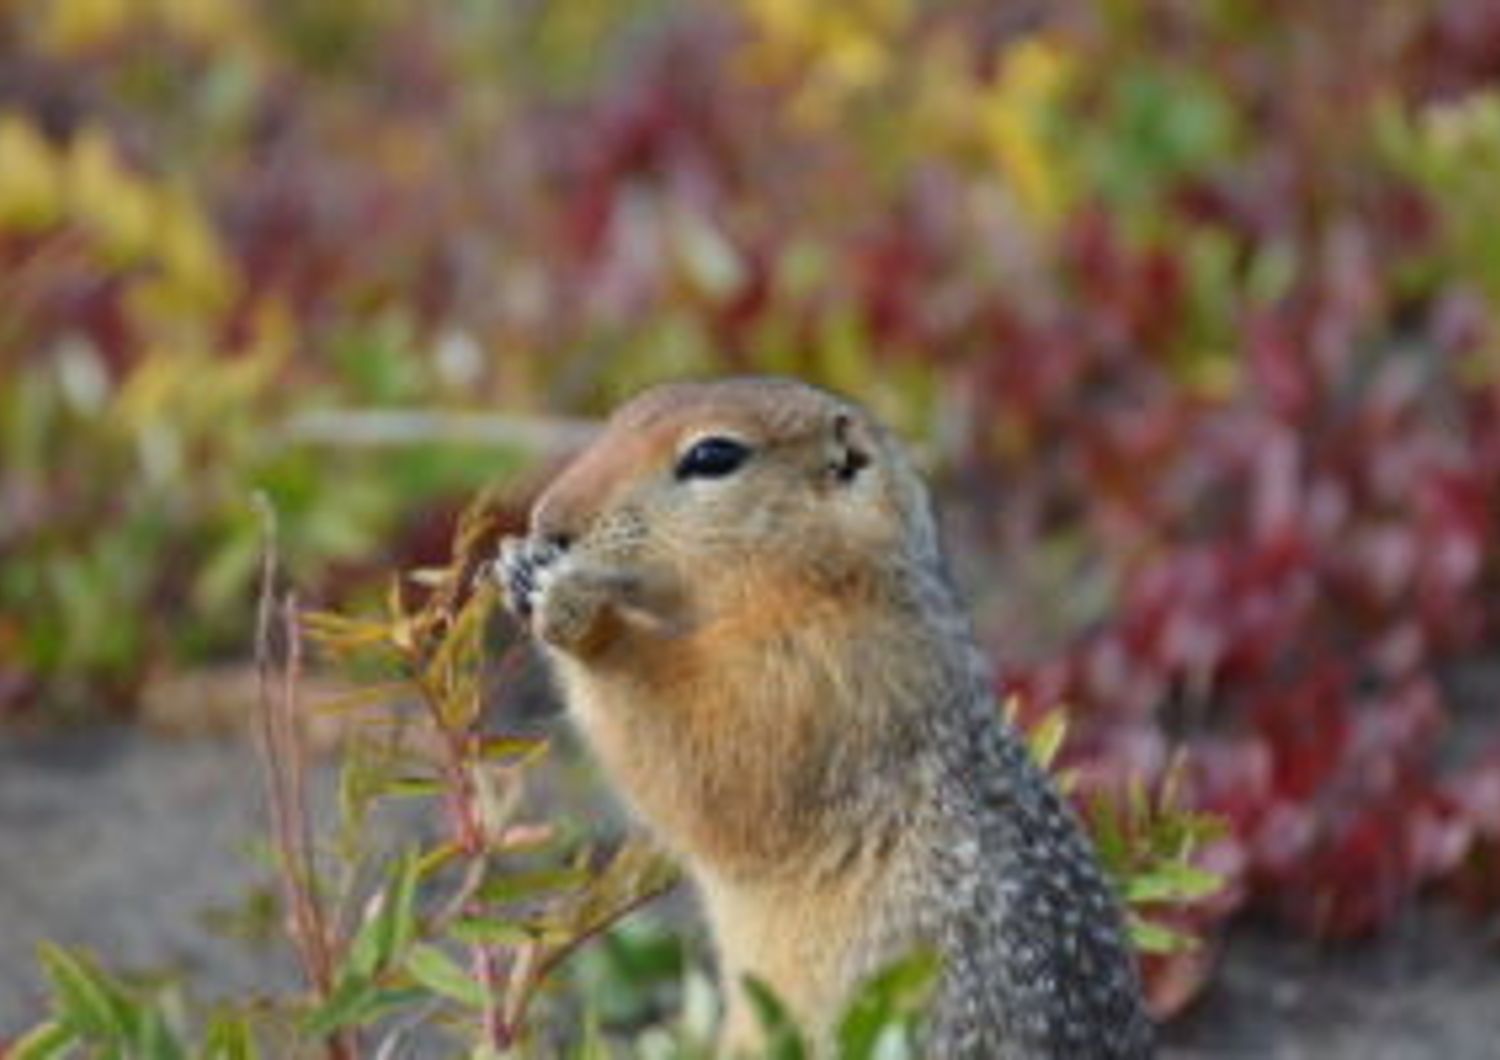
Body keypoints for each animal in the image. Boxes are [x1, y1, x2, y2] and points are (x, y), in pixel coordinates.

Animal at [498, 377, 1152, 1055]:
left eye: (713, 456)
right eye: (621, 414)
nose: (547, 522)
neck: (832, 581)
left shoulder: (815, 671)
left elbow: (713, 755)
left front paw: (574, 608)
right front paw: (517, 566)